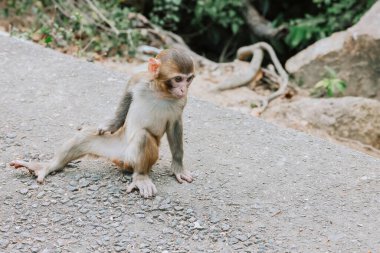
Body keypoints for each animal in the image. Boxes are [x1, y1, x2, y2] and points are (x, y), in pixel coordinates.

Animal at [10, 47, 194, 198]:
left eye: (189, 79)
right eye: (178, 79)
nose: (184, 89)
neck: (160, 92)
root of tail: (121, 158)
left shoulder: (181, 102)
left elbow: (175, 127)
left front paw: (178, 167)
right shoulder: (138, 80)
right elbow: (127, 96)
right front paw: (110, 124)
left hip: (133, 159)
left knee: (143, 136)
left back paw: (141, 176)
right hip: (112, 146)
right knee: (85, 136)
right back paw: (48, 166)